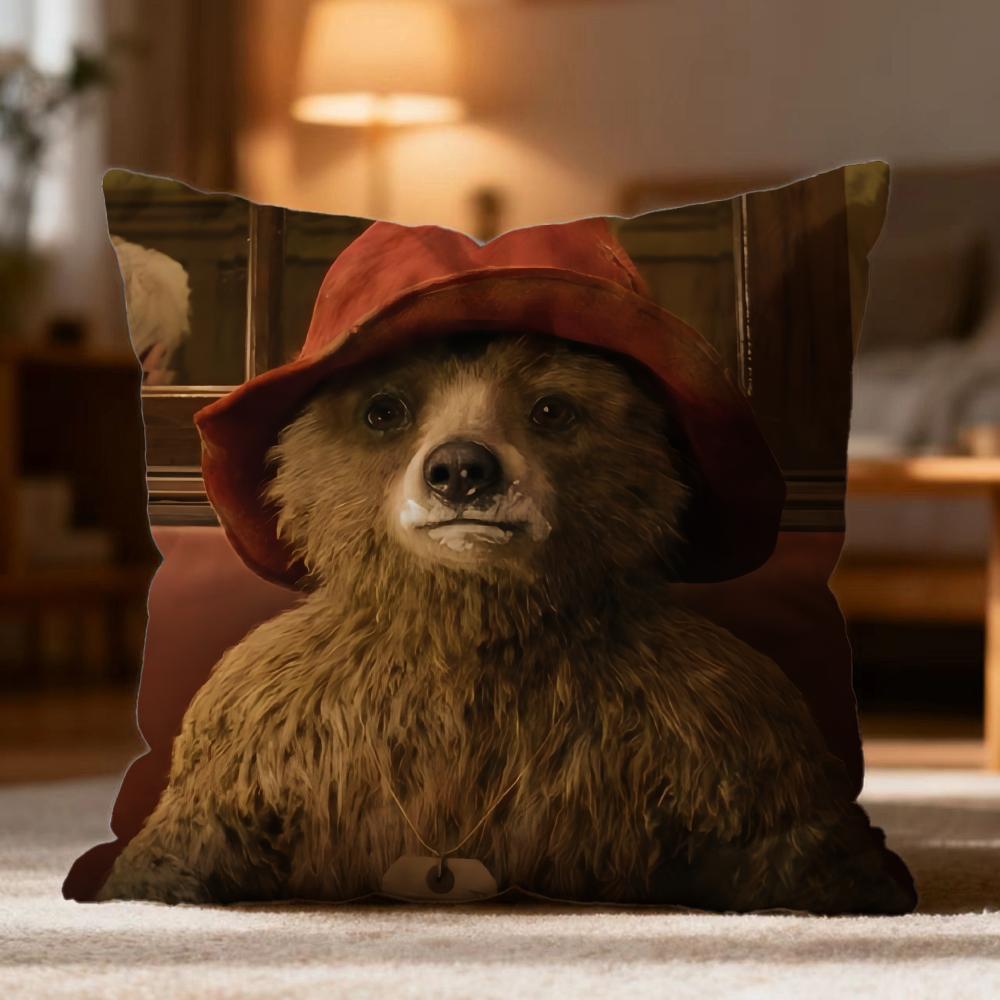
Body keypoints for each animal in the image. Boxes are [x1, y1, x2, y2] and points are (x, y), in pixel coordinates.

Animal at [98, 331, 915, 914]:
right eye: (384, 407)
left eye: (552, 407)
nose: (461, 469)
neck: (469, 644)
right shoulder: (261, 727)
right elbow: (185, 843)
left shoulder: (717, 726)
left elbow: (795, 847)